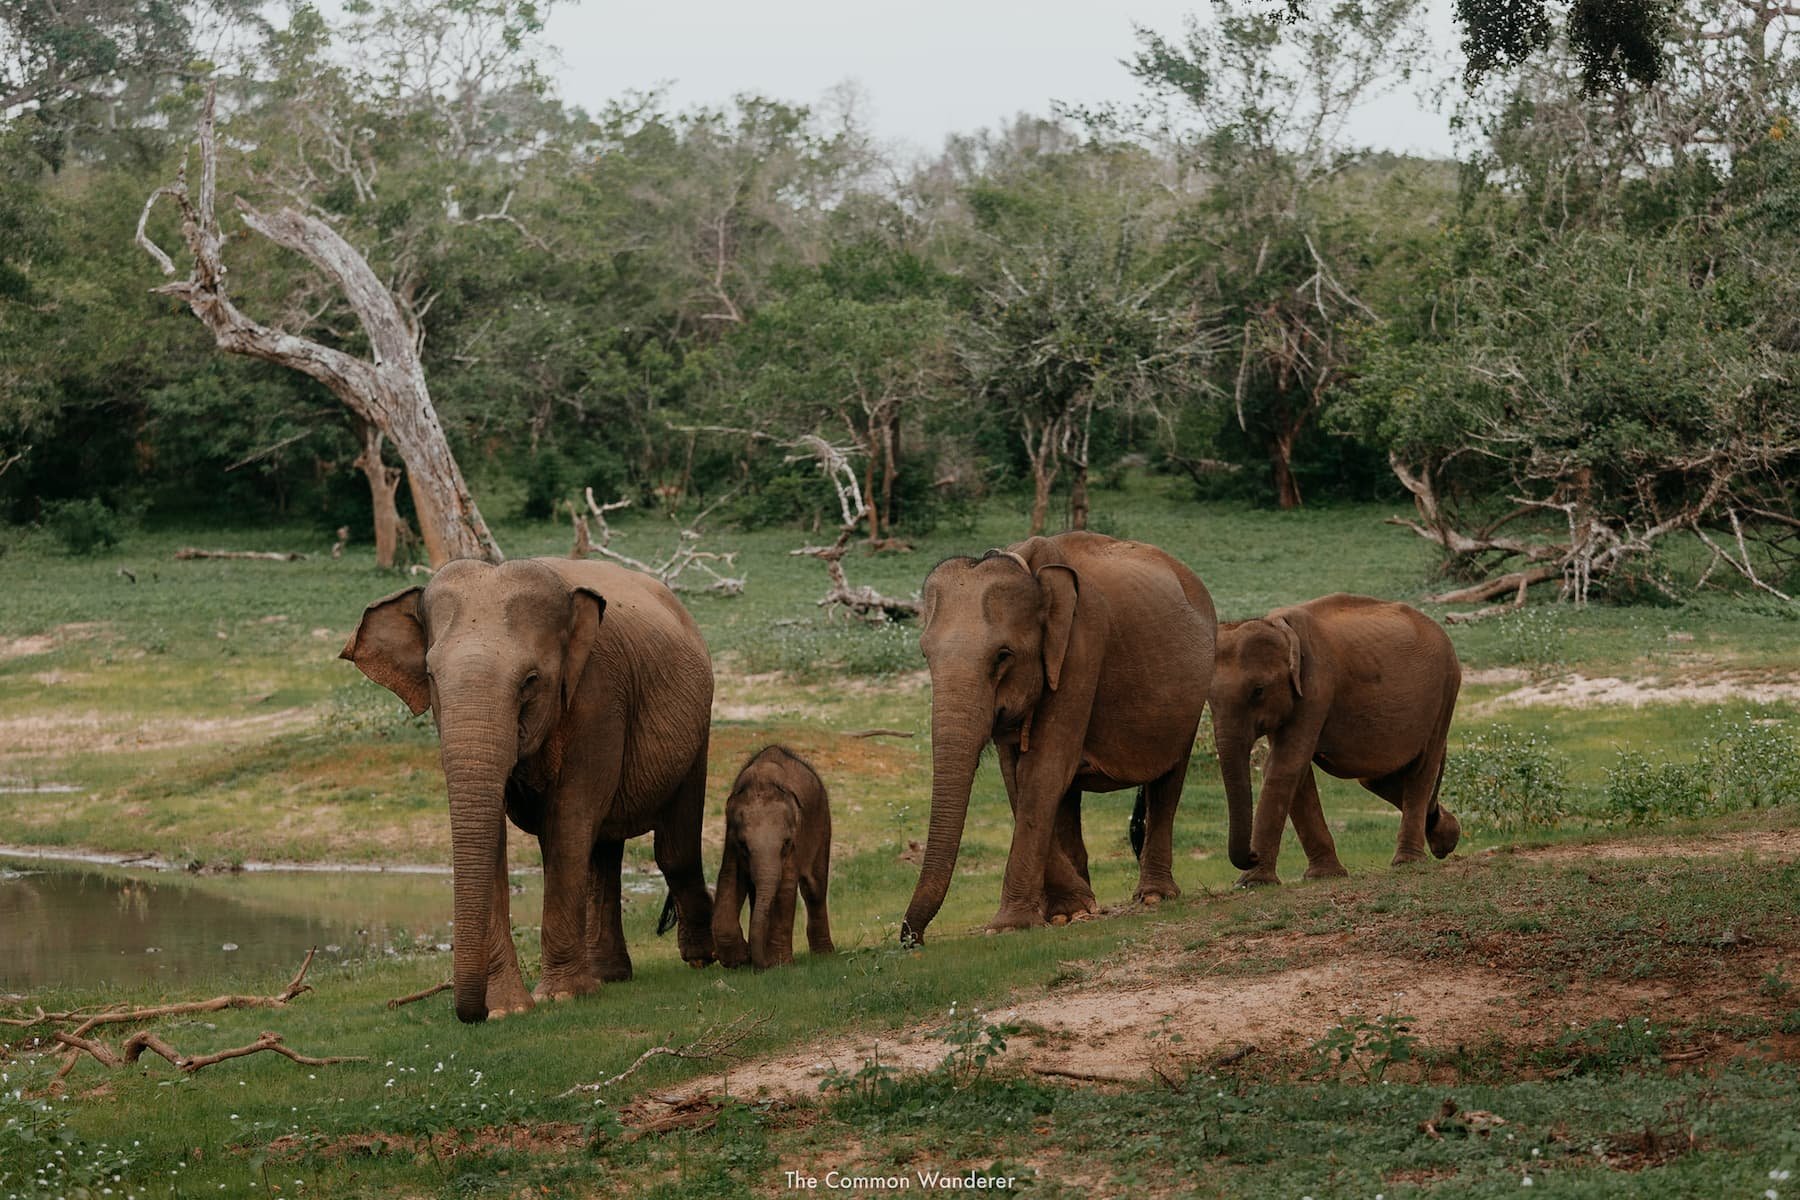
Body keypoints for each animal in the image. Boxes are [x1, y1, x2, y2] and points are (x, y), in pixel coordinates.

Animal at [709, 744, 835, 971]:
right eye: (743, 845)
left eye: (785, 843)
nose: (761, 964)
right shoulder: (730, 840)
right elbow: (729, 879)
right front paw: (738, 960)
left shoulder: (796, 840)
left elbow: (785, 889)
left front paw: (779, 964)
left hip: (823, 823)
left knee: (814, 889)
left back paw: (824, 955)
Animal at [900, 528, 1224, 942]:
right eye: (925, 655)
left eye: (1002, 656)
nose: (912, 940)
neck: (1029, 569)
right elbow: (1018, 777)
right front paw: (1069, 911)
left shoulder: (1082, 648)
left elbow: (1043, 770)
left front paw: (1008, 926)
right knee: (1069, 797)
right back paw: (1074, 909)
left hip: (1193, 693)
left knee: (1168, 780)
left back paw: (1154, 897)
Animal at [1209, 597, 1461, 888]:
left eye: (1258, 691)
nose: (1251, 854)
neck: (1278, 627)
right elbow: (1296, 773)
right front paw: (1323, 876)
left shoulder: (1316, 685)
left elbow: (1286, 765)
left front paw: (1253, 882)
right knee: (1375, 779)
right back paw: (1446, 835)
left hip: (1446, 689)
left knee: (1422, 770)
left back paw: (1408, 862)